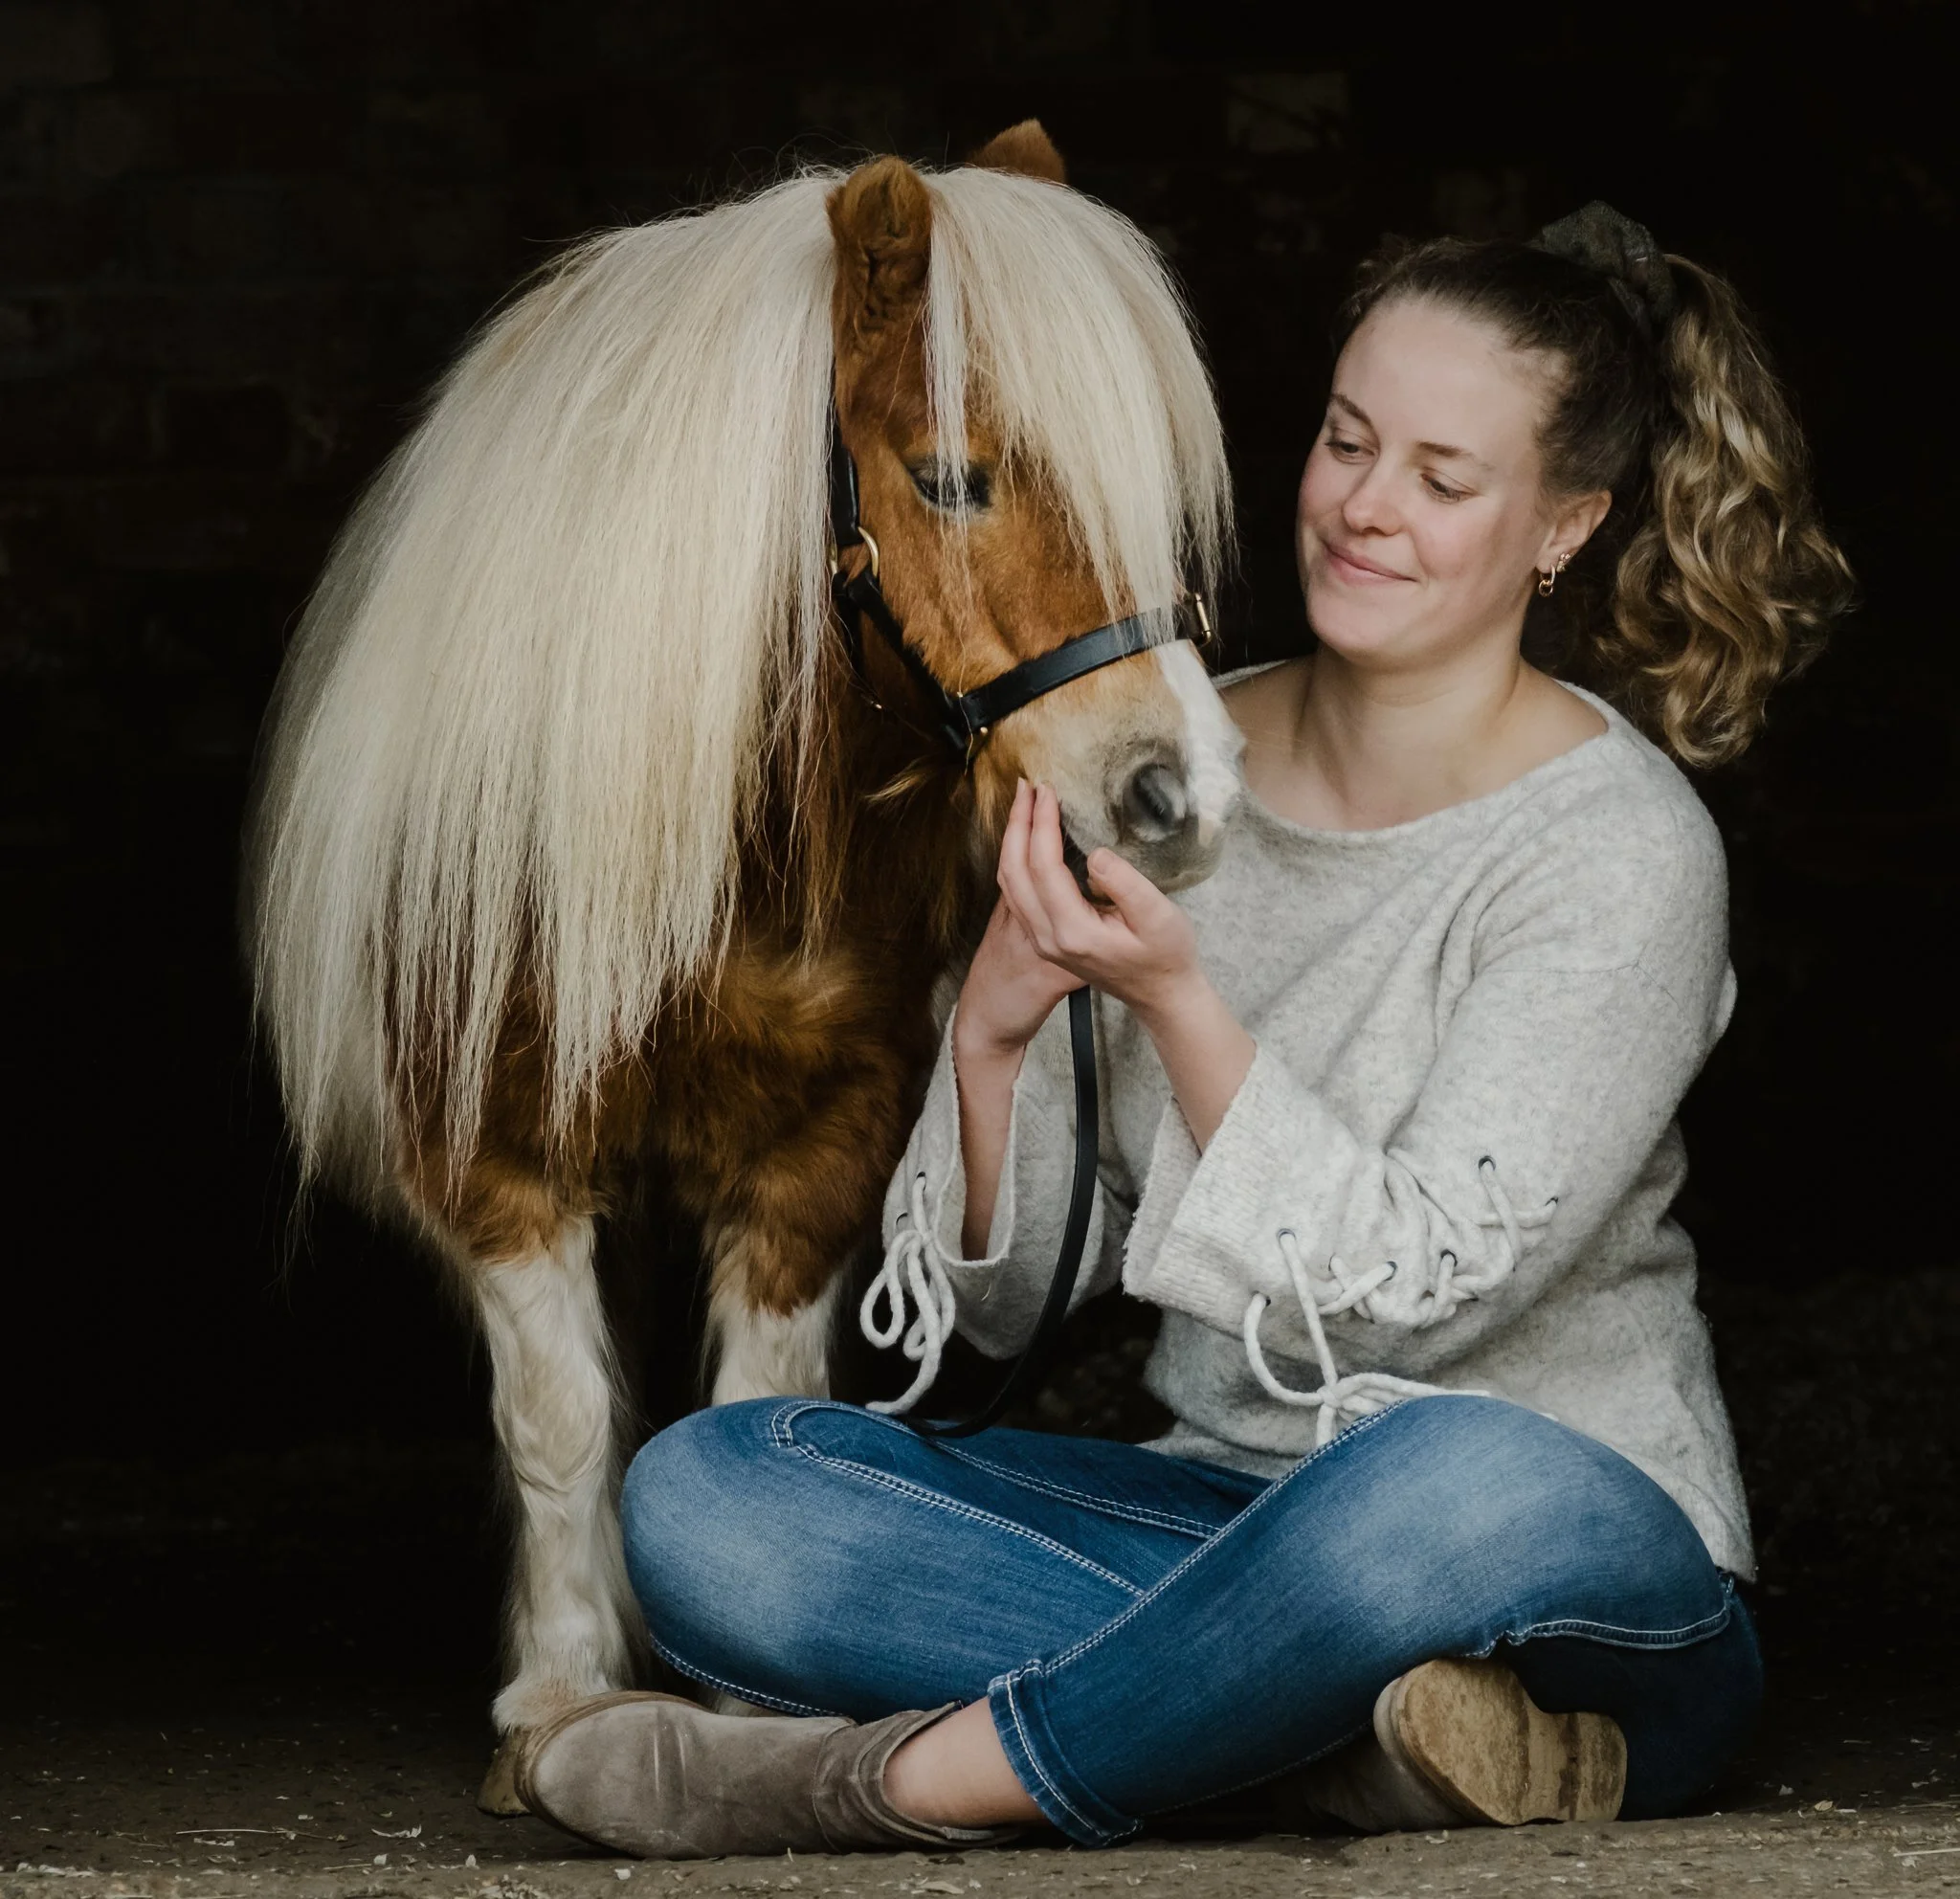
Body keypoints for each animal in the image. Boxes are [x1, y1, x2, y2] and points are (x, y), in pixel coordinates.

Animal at [246, 120, 1242, 1807]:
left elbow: (751, 1408)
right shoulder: (494, 1157)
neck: (733, 844)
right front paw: (563, 1694)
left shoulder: (823, 1151)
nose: (1181, 797)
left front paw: (737, 1699)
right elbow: (564, 1419)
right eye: (951, 478)